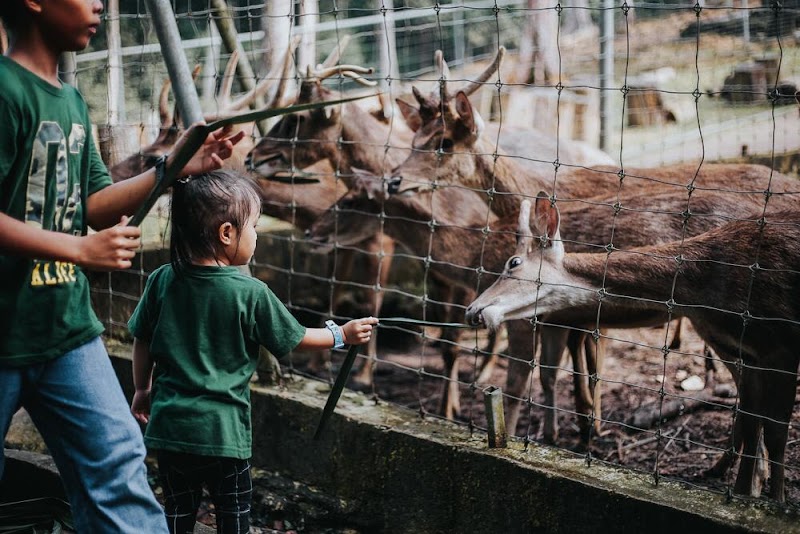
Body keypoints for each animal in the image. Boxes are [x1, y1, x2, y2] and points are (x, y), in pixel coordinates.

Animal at [466, 196, 800, 502]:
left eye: (513, 263)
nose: (473, 309)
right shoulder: (751, 354)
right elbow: (754, 422)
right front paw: (745, 494)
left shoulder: (780, 346)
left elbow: (777, 432)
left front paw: (776, 504)